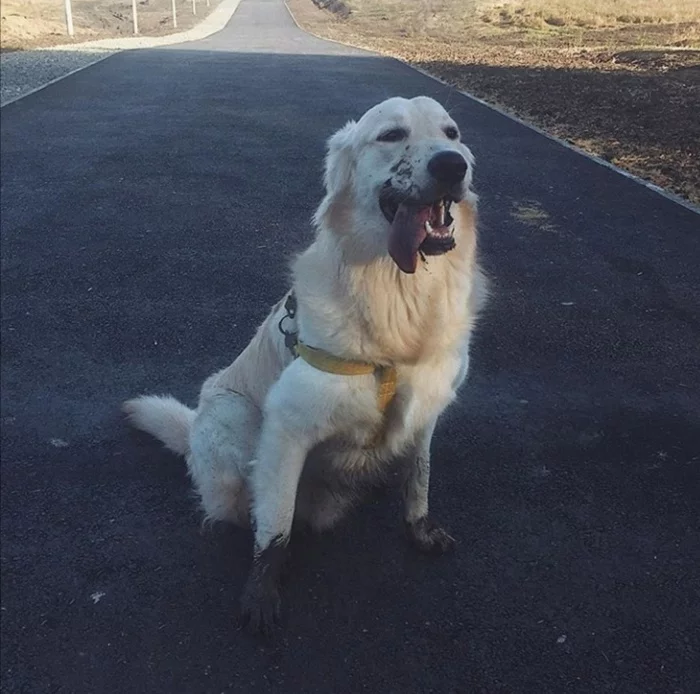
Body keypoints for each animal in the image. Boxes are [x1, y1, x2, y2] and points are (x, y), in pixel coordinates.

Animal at [123, 96, 486, 636]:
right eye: (392, 135)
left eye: (453, 133)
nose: (451, 165)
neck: (399, 300)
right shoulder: (287, 428)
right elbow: (275, 524)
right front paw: (262, 591)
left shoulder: (428, 409)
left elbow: (418, 476)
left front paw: (419, 528)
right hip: (231, 418)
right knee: (248, 502)